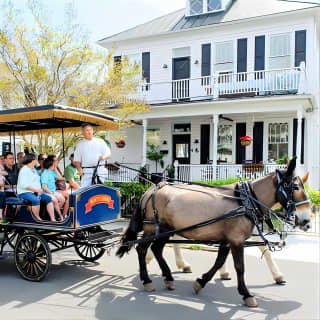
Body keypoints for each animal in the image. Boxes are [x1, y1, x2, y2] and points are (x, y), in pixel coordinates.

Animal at [116, 158, 312, 308]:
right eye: (295, 187)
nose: (307, 222)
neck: (245, 200)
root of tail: (153, 189)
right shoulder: (236, 240)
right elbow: (240, 267)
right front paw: (246, 294)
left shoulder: (227, 240)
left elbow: (219, 262)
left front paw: (201, 282)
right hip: (152, 228)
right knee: (142, 249)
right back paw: (147, 280)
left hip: (165, 229)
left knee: (157, 249)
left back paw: (169, 277)